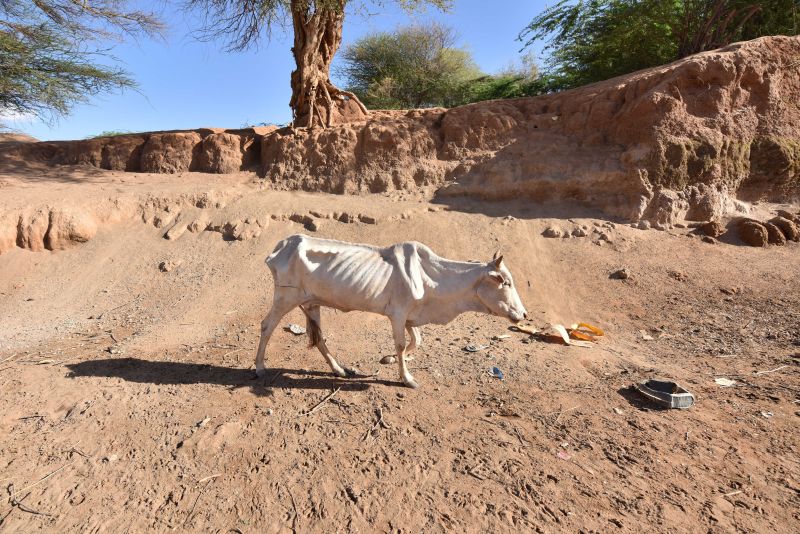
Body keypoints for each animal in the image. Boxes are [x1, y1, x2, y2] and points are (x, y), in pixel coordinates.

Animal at [255, 234, 528, 388]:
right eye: (506, 282)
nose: (524, 315)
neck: (433, 277)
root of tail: (282, 246)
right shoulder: (397, 314)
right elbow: (400, 343)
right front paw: (407, 378)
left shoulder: (410, 317)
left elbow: (416, 341)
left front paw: (392, 359)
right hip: (285, 298)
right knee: (267, 325)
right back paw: (259, 367)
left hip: (312, 304)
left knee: (319, 338)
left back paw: (339, 369)